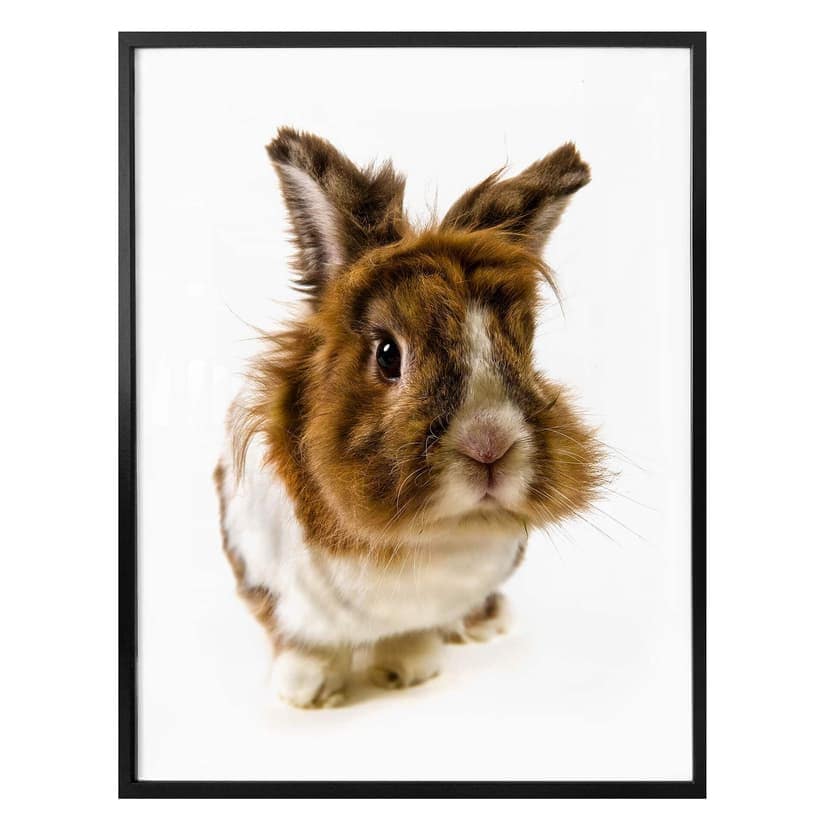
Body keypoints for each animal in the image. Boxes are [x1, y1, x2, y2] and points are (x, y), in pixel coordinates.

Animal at [214, 127, 605, 708]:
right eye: (387, 355)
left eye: (524, 347)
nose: (490, 446)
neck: (419, 540)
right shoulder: (267, 577)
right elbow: (302, 642)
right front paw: (307, 692)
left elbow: (411, 634)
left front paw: (406, 671)